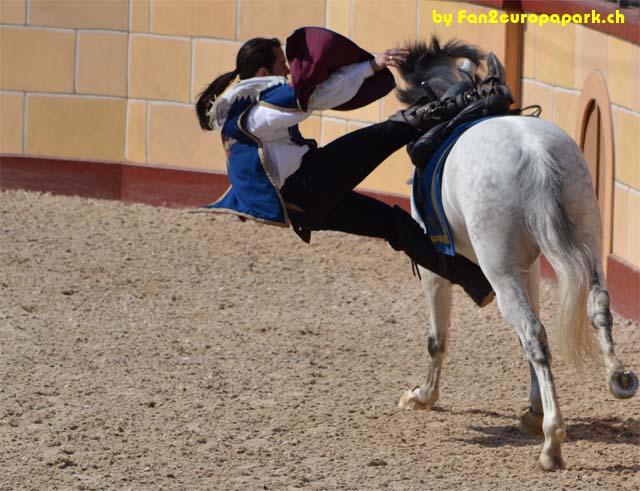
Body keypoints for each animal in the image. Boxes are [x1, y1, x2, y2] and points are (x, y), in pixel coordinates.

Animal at [398, 39, 636, 472]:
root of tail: (536, 155)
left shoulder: (435, 268)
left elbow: (436, 338)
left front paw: (423, 395)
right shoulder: (528, 267)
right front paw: (533, 409)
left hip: (500, 270)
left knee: (532, 334)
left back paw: (552, 443)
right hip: (585, 247)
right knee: (593, 309)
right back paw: (617, 378)